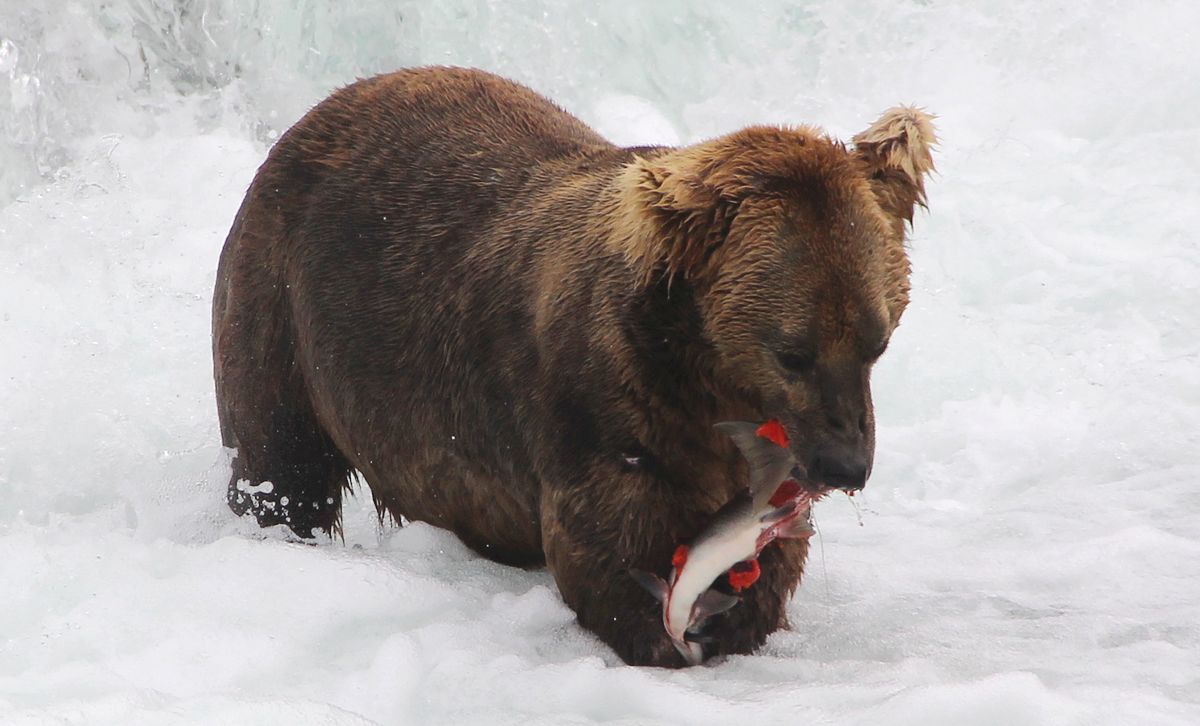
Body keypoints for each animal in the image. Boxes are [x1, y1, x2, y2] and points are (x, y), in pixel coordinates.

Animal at [211, 65, 931, 667]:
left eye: (877, 342)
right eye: (793, 351)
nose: (846, 466)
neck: (703, 380)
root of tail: (329, 103)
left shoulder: (752, 453)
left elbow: (775, 549)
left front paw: (739, 617)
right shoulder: (603, 412)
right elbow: (606, 543)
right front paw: (662, 632)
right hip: (283, 306)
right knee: (282, 461)